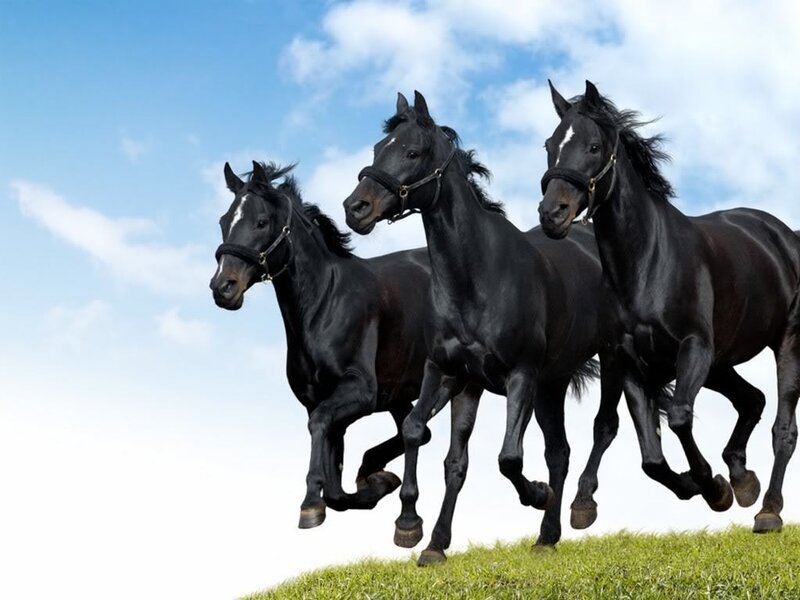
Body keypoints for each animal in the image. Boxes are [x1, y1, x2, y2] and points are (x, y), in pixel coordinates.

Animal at [210, 160, 482, 529]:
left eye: (261, 221)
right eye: (224, 221)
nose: (223, 287)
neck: (324, 304)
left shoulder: (359, 392)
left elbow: (321, 429)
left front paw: (311, 503)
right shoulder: (320, 399)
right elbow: (336, 486)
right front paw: (373, 483)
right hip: (399, 393)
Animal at [343, 91, 620, 564]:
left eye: (412, 152)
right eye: (379, 149)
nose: (355, 208)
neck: (477, 277)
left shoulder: (519, 377)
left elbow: (509, 458)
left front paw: (537, 494)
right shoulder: (452, 375)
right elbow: (433, 445)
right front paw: (420, 534)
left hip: (611, 359)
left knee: (603, 428)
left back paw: (579, 506)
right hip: (552, 384)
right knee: (559, 451)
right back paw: (547, 536)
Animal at [538, 80, 800, 533]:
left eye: (593, 146)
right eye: (550, 145)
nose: (552, 214)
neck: (648, 263)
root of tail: (784, 236)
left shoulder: (693, 348)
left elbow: (678, 417)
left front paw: (712, 486)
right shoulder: (631, 362)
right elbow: (651, 458)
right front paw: (704, 484)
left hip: (784, 342)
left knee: (783, 427)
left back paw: (768, 509)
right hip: (720, 363)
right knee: (752, 400)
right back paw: (743, 478)